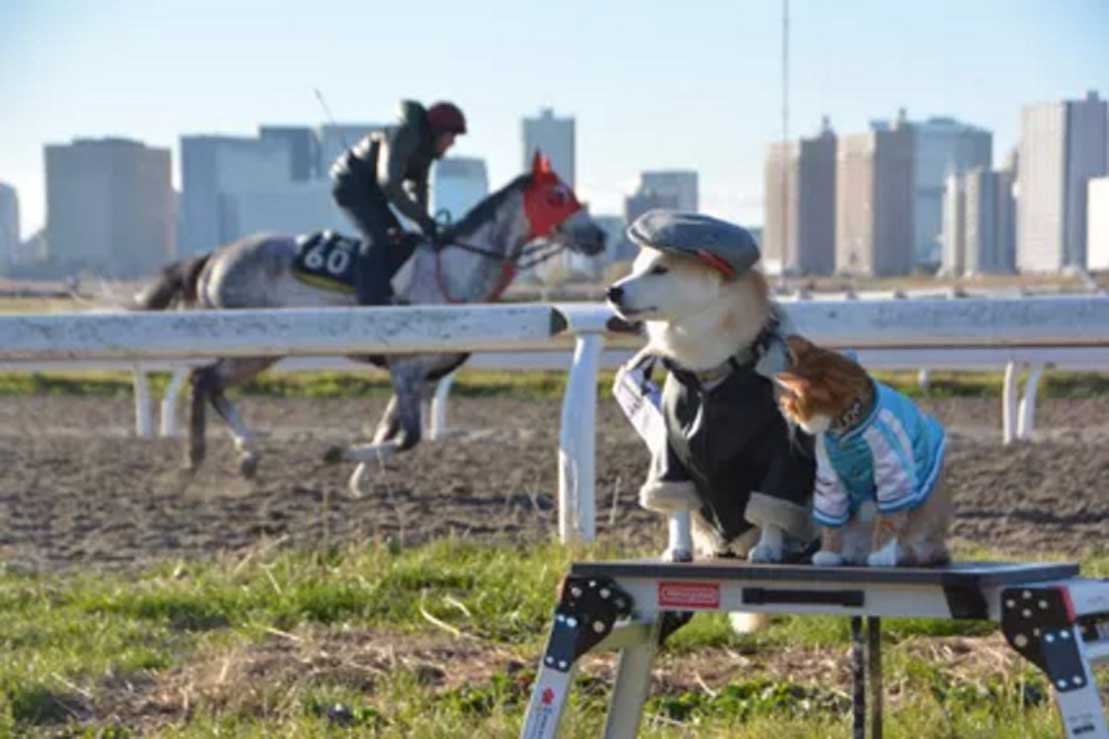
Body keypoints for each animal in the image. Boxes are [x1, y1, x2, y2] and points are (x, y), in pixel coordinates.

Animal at [136, 154, 607, 488]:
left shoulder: (423, 376)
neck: (453, 272)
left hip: (258, 349)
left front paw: (359, 480)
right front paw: (337, 455)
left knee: (208, 382)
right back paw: (207, 458)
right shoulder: (406, 366)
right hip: (257, 346)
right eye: (558, 195)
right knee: (204, 380)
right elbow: (408, 436)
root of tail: (214, 257)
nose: (599, 235)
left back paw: (241, 457)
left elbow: (390, 430)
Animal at [607, 209, 816, 561]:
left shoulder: (782, 451)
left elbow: (772, 508)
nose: (612, 291)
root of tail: (731, 544)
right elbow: (677, 507)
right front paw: (678, 547)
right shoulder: (670, 450)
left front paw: (769, 547)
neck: (709, 373)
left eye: (660, 269)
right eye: (635, 269)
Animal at [776, 332, 949, 563]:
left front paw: (881, 554)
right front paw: (829, 553)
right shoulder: (829, 479)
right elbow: (831, 524)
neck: (845, 428)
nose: (781, 408)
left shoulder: (893, 474)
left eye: (791, 404)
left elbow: (889, 519)